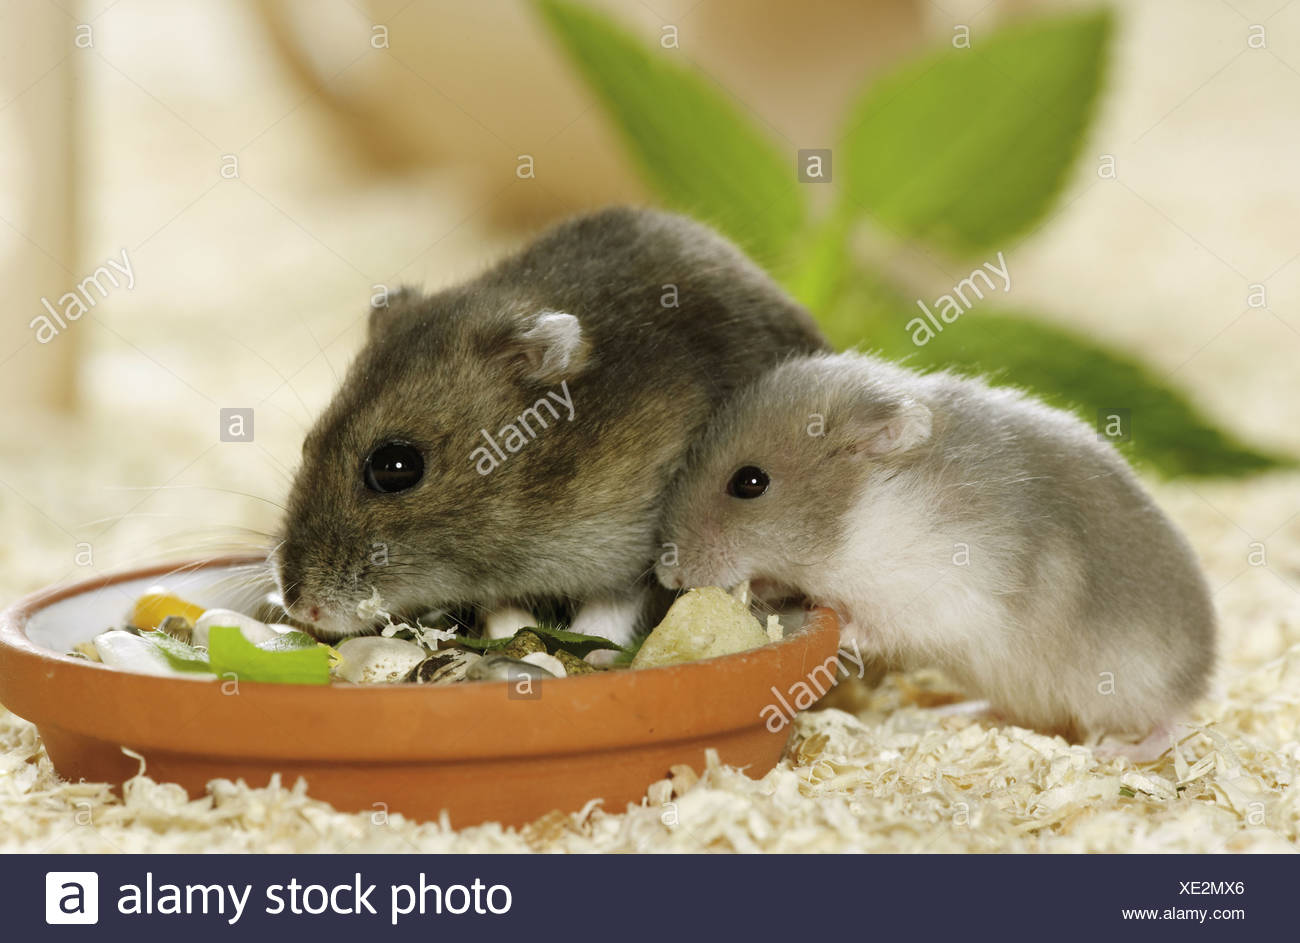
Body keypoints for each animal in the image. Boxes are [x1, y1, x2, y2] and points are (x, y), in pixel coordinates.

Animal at [272, 207, 829, 640]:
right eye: (305, 443)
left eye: (396, 467)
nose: (301, 607)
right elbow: (504, 605)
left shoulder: (642, 538)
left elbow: (614, 604)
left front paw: (591, 646)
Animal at [655, 351, 1216, 744]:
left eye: (750, 482)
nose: (667, 575)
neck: (860, 513)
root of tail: (1202, 673)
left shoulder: (943, 595)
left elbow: (875, 628)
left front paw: (833, 622)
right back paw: (948, 712)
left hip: (1133, 681)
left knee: (1170, 720)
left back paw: (1128, 750)